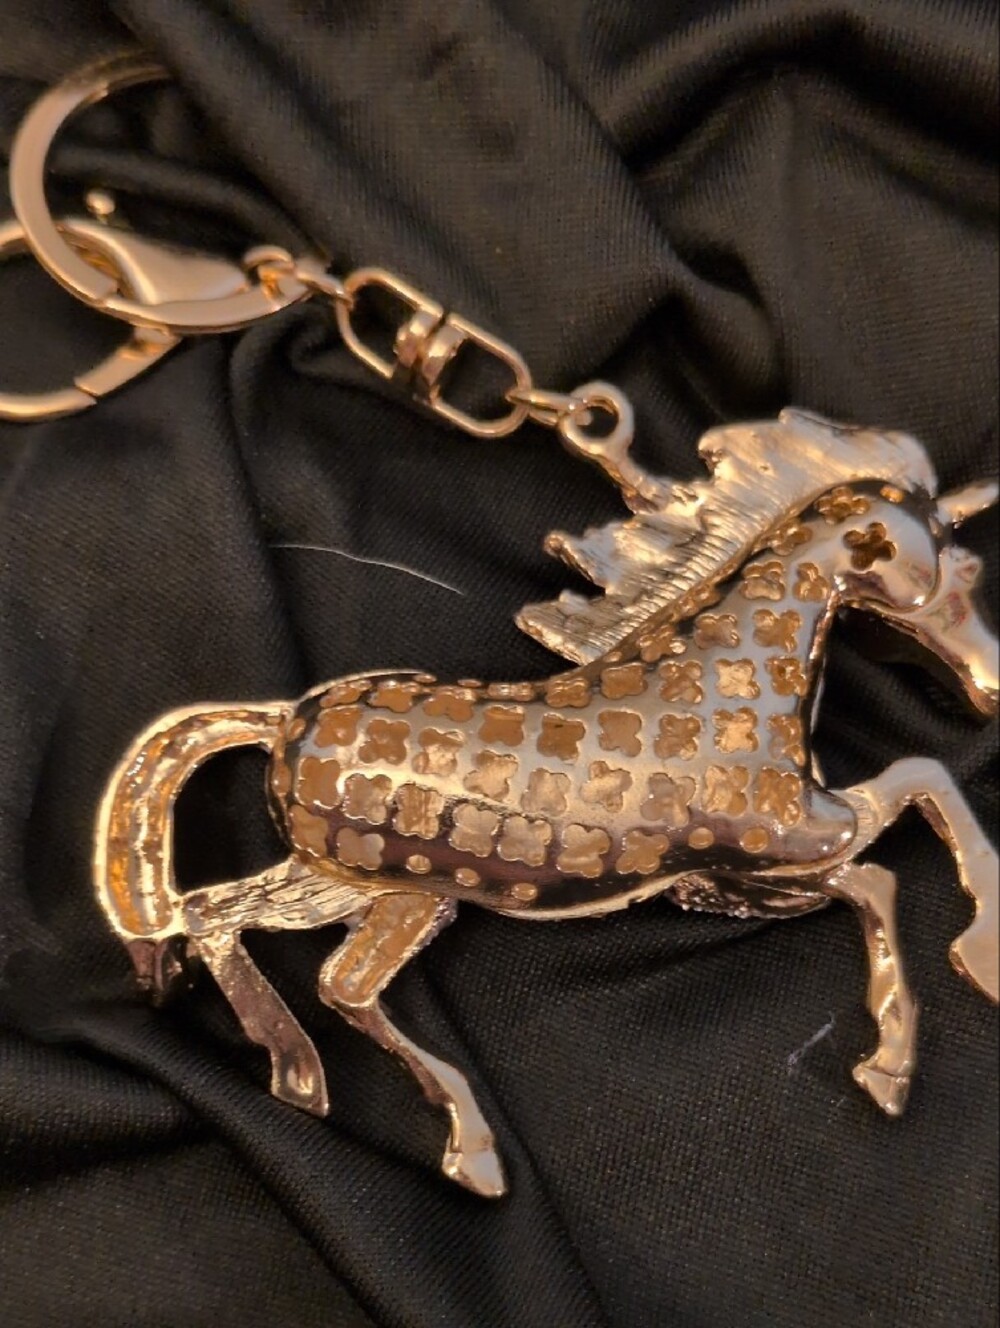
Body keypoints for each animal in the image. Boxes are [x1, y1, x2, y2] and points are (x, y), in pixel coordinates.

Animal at [93, 408, 998, 1198]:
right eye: (955, 573)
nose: (989, 688)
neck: (728, 675)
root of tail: (282, 719)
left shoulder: (727, 882)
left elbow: (916, 803)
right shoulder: (782, 845)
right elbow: (899, 837)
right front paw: (901, 1053)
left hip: (343, 880)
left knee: (215, 913)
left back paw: (297, 1076)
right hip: (406, 894)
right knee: (338, 982)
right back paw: (467, 1149)